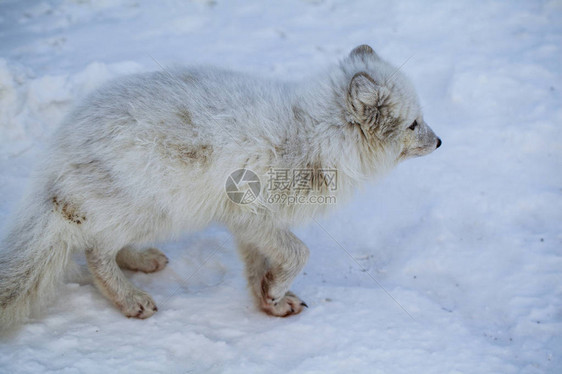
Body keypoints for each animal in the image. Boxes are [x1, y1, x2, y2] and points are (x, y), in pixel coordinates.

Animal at [0, 44, 438, 330]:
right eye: (414, 124)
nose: (439, 142)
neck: (316, 134)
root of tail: (58, 153)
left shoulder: (246, 223)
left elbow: (259, 266)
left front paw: (269, 301)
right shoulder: (255, 214)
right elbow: (300, 253)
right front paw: (275, 292)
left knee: (104, 245)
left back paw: (142, 261)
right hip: (156, 212)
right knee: (95, 251)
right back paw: (131, 299)